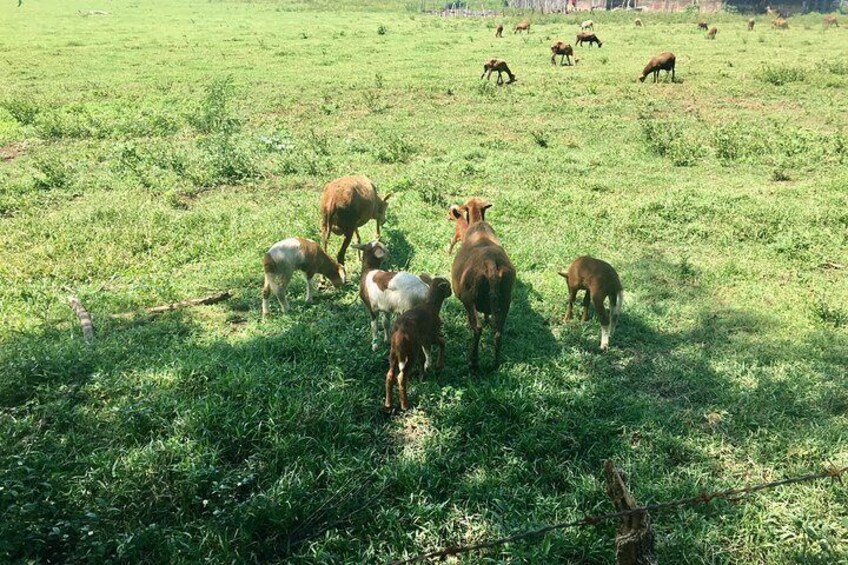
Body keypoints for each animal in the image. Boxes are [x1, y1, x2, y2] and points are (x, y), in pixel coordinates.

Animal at [382, 278, 450, 410]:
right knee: (401, 377)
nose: (451, 292)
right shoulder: (431, 336)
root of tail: (400, 333)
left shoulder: (422, 341)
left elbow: (423, 358)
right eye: (448, 286)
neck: (431, 305)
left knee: (390, 375)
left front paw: (422, 377)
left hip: (394, 352)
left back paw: (388, 403)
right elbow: (442, 342)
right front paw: (439, 365)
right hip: (410, 352)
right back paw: (405, 405)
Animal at [450, 198, 516, 370]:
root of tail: (491, 263)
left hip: (469, 298)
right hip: (505, 300)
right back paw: (495, 363)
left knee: (477, 328)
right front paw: (487, 318)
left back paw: (473, 361)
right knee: (498, 330)